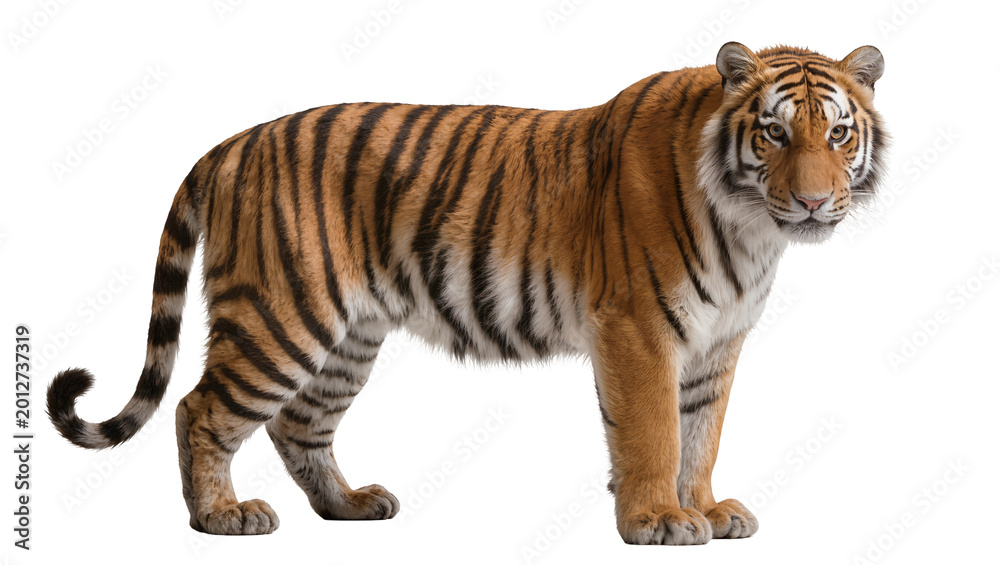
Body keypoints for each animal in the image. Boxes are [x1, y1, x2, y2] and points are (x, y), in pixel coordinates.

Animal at [46, 42, 886, 544]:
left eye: (838, 133)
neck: (751, 229)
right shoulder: (640, 330)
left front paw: (704, 507)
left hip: (347, 335)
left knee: (298, 424)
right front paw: (657, 519)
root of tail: (231, 143)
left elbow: (700, 432)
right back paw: (220, 515)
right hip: (280, 317)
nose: (814, 202)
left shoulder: (716, 343)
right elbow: (654, 432)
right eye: (774, 134)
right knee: (199, 409)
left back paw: (349, 505)